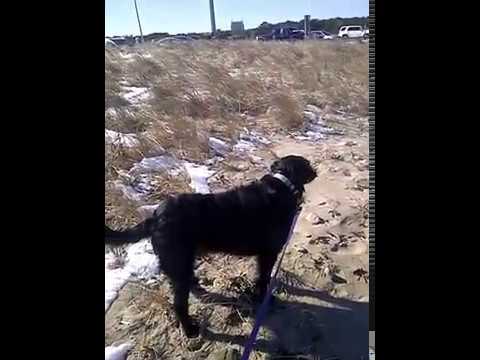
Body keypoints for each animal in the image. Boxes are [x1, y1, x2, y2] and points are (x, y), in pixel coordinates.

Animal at [105, 155, 316, 338]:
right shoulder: (269, 253)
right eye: (307, 164)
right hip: (179, 264)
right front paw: (265, 299)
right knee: (179, 304)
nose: (315, 171)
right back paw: (190, 330)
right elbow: (263, 279)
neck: (284, 184)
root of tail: (156, 218)